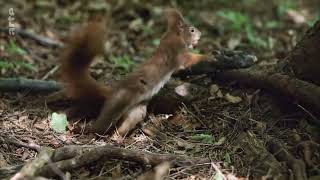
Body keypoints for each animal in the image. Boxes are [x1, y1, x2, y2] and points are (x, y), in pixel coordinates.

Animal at [60, 8, 215, 135]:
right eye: (192, 30)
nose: (200, 34)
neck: (173, 35)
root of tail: (111, 91)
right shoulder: (178, 52)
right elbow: (190, 59)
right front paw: (209, 56)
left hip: (136, 110)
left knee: (124, 125)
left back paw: (118, 137)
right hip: (116, 105)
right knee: (102, 125)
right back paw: (85, 129)